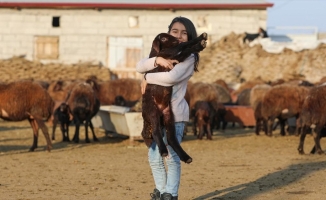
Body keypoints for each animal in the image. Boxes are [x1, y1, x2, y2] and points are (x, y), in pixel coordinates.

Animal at [141, 32, 208, 163]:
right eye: (163, 38)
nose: (177, 39)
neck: (159, 53)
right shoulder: (171, 57)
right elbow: (184, 47)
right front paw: (199, 43)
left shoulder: (174, 60)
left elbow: (184, 48)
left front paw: (201, 41)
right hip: (153, 111)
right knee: (156, 132)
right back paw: (163, 151)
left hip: (169, 116)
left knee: (171, 138)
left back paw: (186, 157)